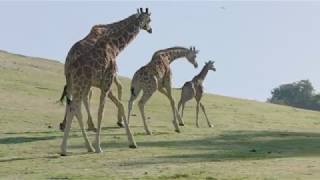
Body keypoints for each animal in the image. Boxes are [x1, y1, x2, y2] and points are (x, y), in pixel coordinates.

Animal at [61, 7, 154, 155]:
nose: (151, 29)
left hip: (78, 85)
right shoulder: (107, 81)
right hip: (80, 85)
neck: (115, 46)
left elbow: (120, 105)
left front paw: (132, 142)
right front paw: (99, 146)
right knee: (74, 107)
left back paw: (75, 146)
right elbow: (101, 112)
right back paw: (71, 147)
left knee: (74, 107)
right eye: (149, 19)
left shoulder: (103, 84)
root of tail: (69, 65)